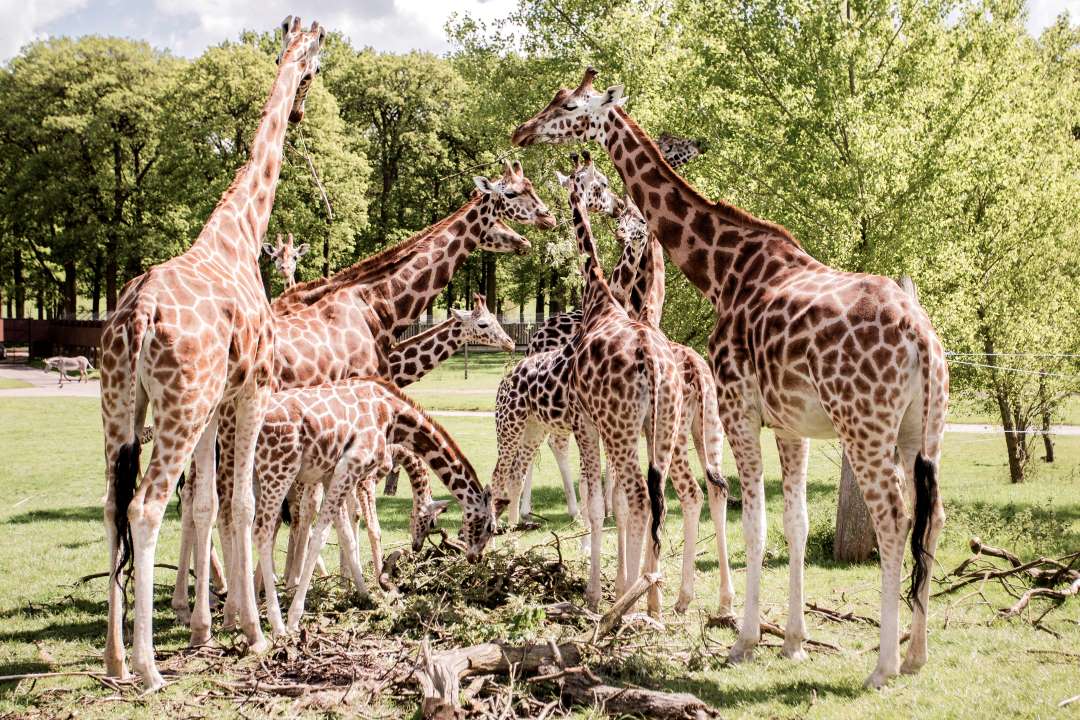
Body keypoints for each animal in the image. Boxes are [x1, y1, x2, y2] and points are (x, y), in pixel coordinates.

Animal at [98, 18, 324, 690]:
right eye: (316, 66)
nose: (301, 108)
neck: (241, 233)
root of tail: (138, 316)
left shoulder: (214, 402)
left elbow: (205, 504)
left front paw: (205, 627)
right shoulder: (252, 390)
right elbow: (243, 503)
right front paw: (255, 632)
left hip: (126, 405)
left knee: (112, 503)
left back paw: (115, 659)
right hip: (178, 404)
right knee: (144, 507)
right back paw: (148, 668)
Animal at [252, 379, 494, 634]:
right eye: (490, 527)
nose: (476, 557)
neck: (392, 415)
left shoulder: (333, 474)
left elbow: (346, 534)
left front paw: (364, 593)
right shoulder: (353, 469)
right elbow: (332, 533)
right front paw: (295, 618)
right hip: (280, 470)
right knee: (265, 530)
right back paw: (277, 621)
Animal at [511, 69, 946, 690]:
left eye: (569, 106)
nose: (522, 131)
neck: (723, 271)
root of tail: (922, 338)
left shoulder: (740, 407)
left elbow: (753, 525)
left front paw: (743, 640)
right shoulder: (790, 425)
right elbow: (793, 522)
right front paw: (792, 642)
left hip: (864, 425)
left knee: (894, 519)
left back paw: (882, 667)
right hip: (920, 430)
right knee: (932, 520)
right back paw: (915, 656)